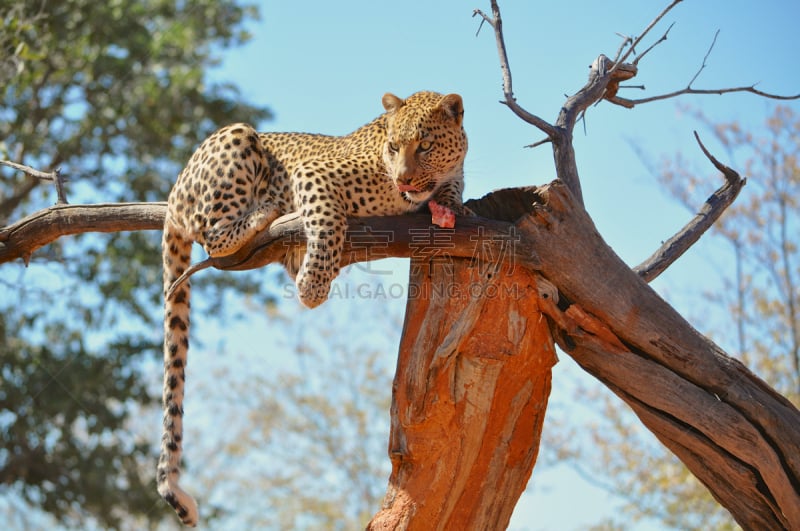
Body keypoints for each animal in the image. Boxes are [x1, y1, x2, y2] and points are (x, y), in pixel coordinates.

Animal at [156, 89, 468, 524]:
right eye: (393, 147)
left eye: (425, 146)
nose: (404, 178)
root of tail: (174, 192)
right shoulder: (314, 174)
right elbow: (328, 221)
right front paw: (313, 285)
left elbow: (452, 193)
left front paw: (449, 208)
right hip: (236, 138)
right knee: (210, 231)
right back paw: (265, 211)